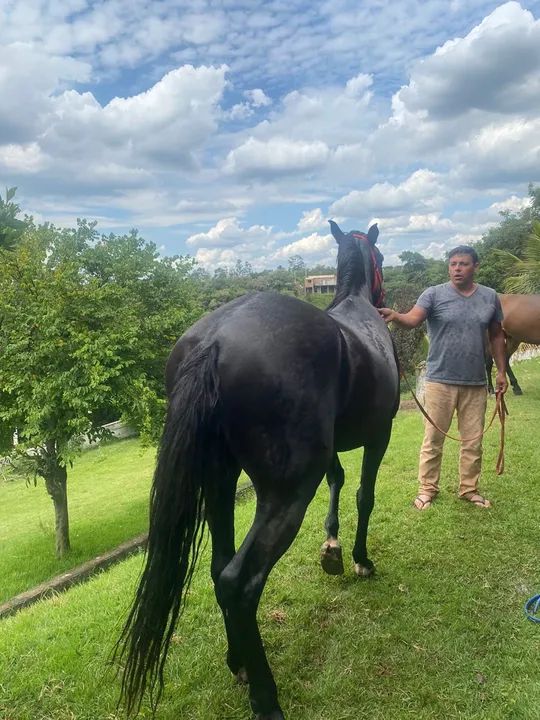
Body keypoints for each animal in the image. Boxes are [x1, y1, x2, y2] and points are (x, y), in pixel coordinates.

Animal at [114, 220, 400, 720]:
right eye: (381, 258)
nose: (388, 299)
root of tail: (213, 341)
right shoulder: (378, 435)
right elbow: (364, 494)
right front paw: (360, 559)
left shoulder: (332, 451)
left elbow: (339, 480)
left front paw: (332, 548)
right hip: (285, 495)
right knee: (239, 582)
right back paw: (265, 698)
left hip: (219, 483)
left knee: (219, 568)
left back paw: (239, 662)